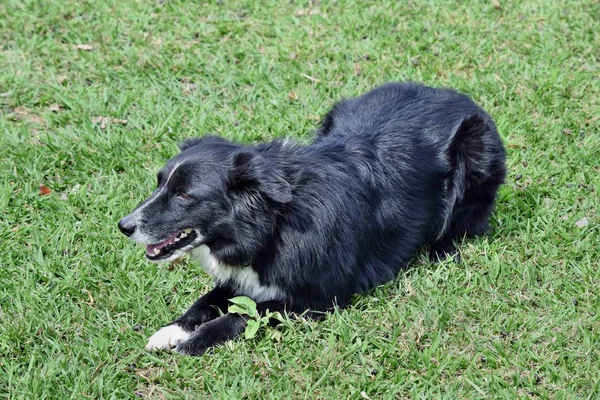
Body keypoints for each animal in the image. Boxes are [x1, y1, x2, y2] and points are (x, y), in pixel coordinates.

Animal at [117, 82, 506, 356]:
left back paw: (442, 249)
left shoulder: (318, 298)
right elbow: (207, 300)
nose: (124, 226)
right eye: (159, 183)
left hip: (476, 151)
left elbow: (245, 313)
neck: (274, 225)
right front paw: (172, 330)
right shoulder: (244, 276)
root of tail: (453, 94)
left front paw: (195, 341)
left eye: (184, 196)